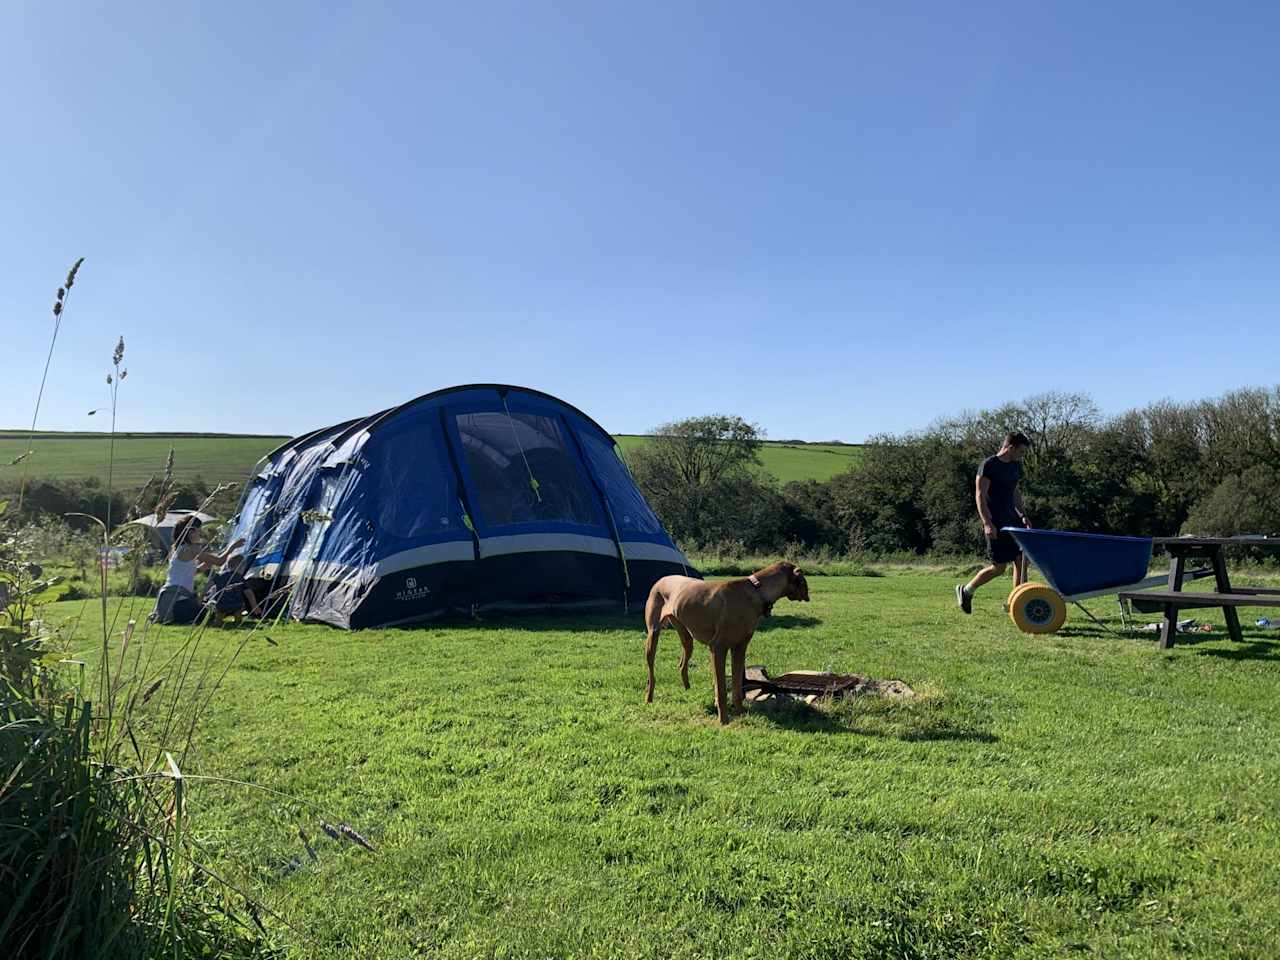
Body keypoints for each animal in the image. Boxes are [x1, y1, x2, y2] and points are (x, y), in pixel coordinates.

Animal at [640, 560, 808, 727]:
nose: (808, 595)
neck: (756, 591)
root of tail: (661, 579)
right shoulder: (718, 648)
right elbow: (721, 689)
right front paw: (724, 720)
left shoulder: (739, 648)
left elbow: (737, 686)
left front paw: (740, 713)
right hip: (653, 635)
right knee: (651, 671)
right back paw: (649, 697)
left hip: (686, 637)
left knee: (682, 662)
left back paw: (687, 689)